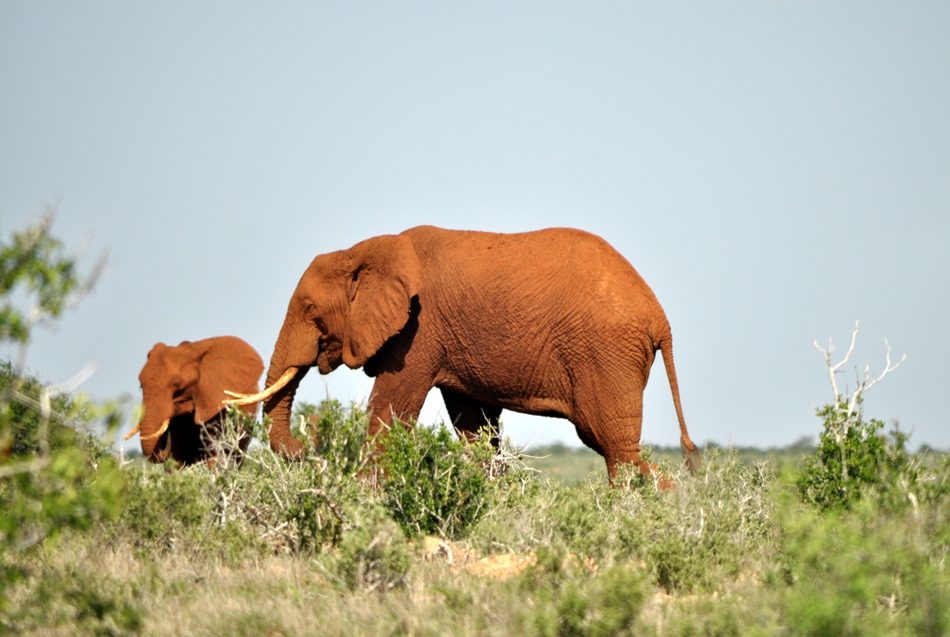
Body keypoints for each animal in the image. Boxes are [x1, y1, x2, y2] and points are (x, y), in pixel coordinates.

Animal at [227, 226, 704, 480]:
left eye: (309, 310)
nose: (304, 446)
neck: (366, 250)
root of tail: (660, 318)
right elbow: (473, 426)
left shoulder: (416, 332)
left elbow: (390, 413)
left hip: (605, 353)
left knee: (615, 447)